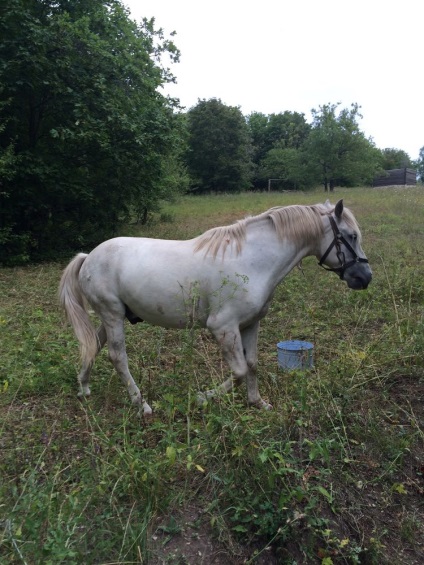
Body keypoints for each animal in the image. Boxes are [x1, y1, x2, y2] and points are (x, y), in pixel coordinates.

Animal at [58, 198, 372, 414]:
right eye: (351, 236)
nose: (365, 277)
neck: (252, 260)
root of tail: (88, 257)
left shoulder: (250, 324)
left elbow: (252, 364)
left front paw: (258, 402)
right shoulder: (223, 328)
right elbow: (240, 371)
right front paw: (203, 397)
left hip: (112, 316)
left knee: (93, 345)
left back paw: (84, 387)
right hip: (112, 315)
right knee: (117, 357)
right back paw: (141, 404)